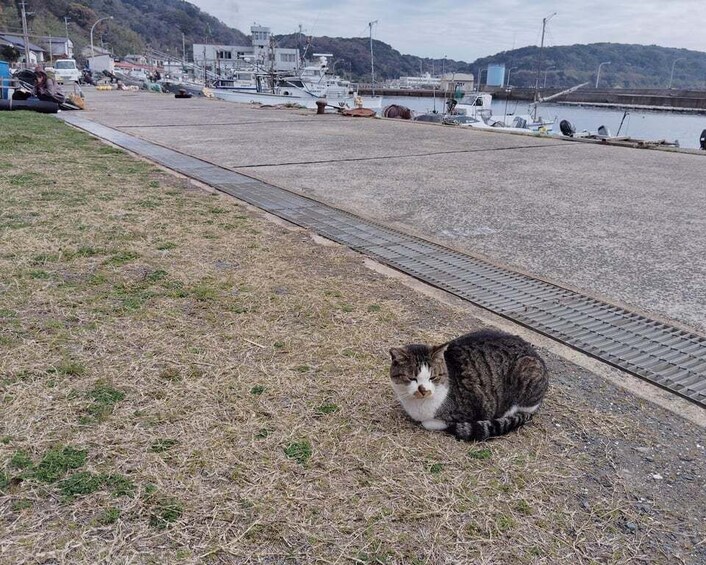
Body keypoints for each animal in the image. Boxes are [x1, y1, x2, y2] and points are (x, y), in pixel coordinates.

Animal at [389, 329, 549, 441]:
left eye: (433, 377)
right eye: (412, 378)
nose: (423, 390)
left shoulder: (471, 410)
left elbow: (429, 423)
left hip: (528, 368)